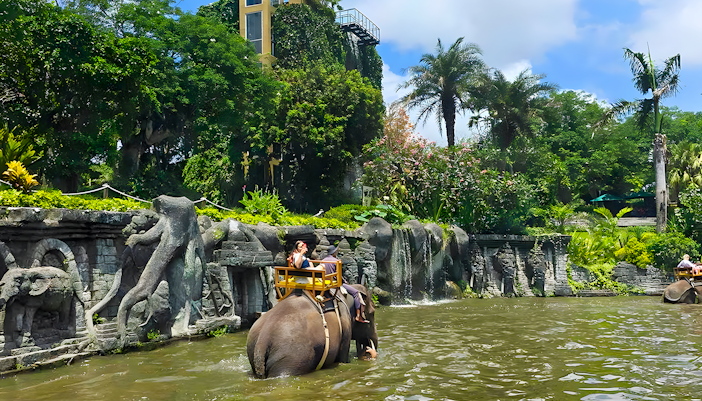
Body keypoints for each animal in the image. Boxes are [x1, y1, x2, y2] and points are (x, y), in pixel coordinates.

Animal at [247, 284, 378, 378]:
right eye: (372, 313)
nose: (367, 349)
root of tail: (262, 342)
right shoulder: (345, 325)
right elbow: (343, 358)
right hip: (289, 359)